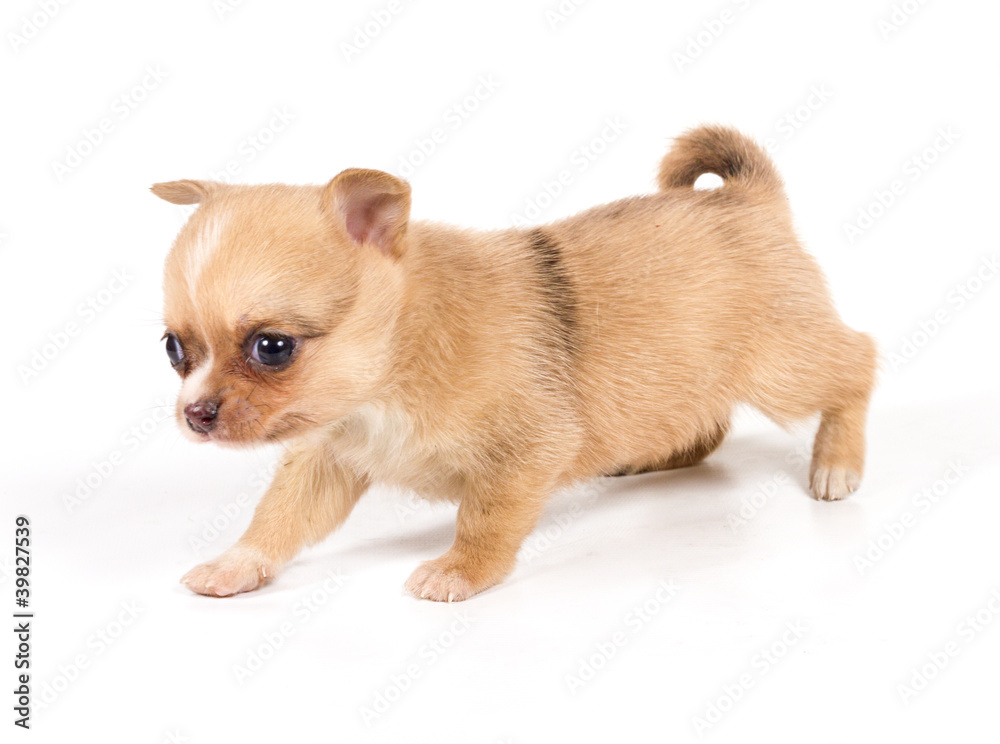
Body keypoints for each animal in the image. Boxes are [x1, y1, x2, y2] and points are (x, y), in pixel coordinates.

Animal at [154, 125, 876, 600]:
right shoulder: (326, 458)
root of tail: (745, 200)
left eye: (272, 347)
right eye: (173, 349)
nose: (195, 415)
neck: (391, 374)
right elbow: (278, 519)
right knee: (708, 423)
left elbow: (483, 521)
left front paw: (459, 571)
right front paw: (236, 564)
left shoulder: (525, 452)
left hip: (782, 367)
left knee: (859, 362)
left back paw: (837, 464)